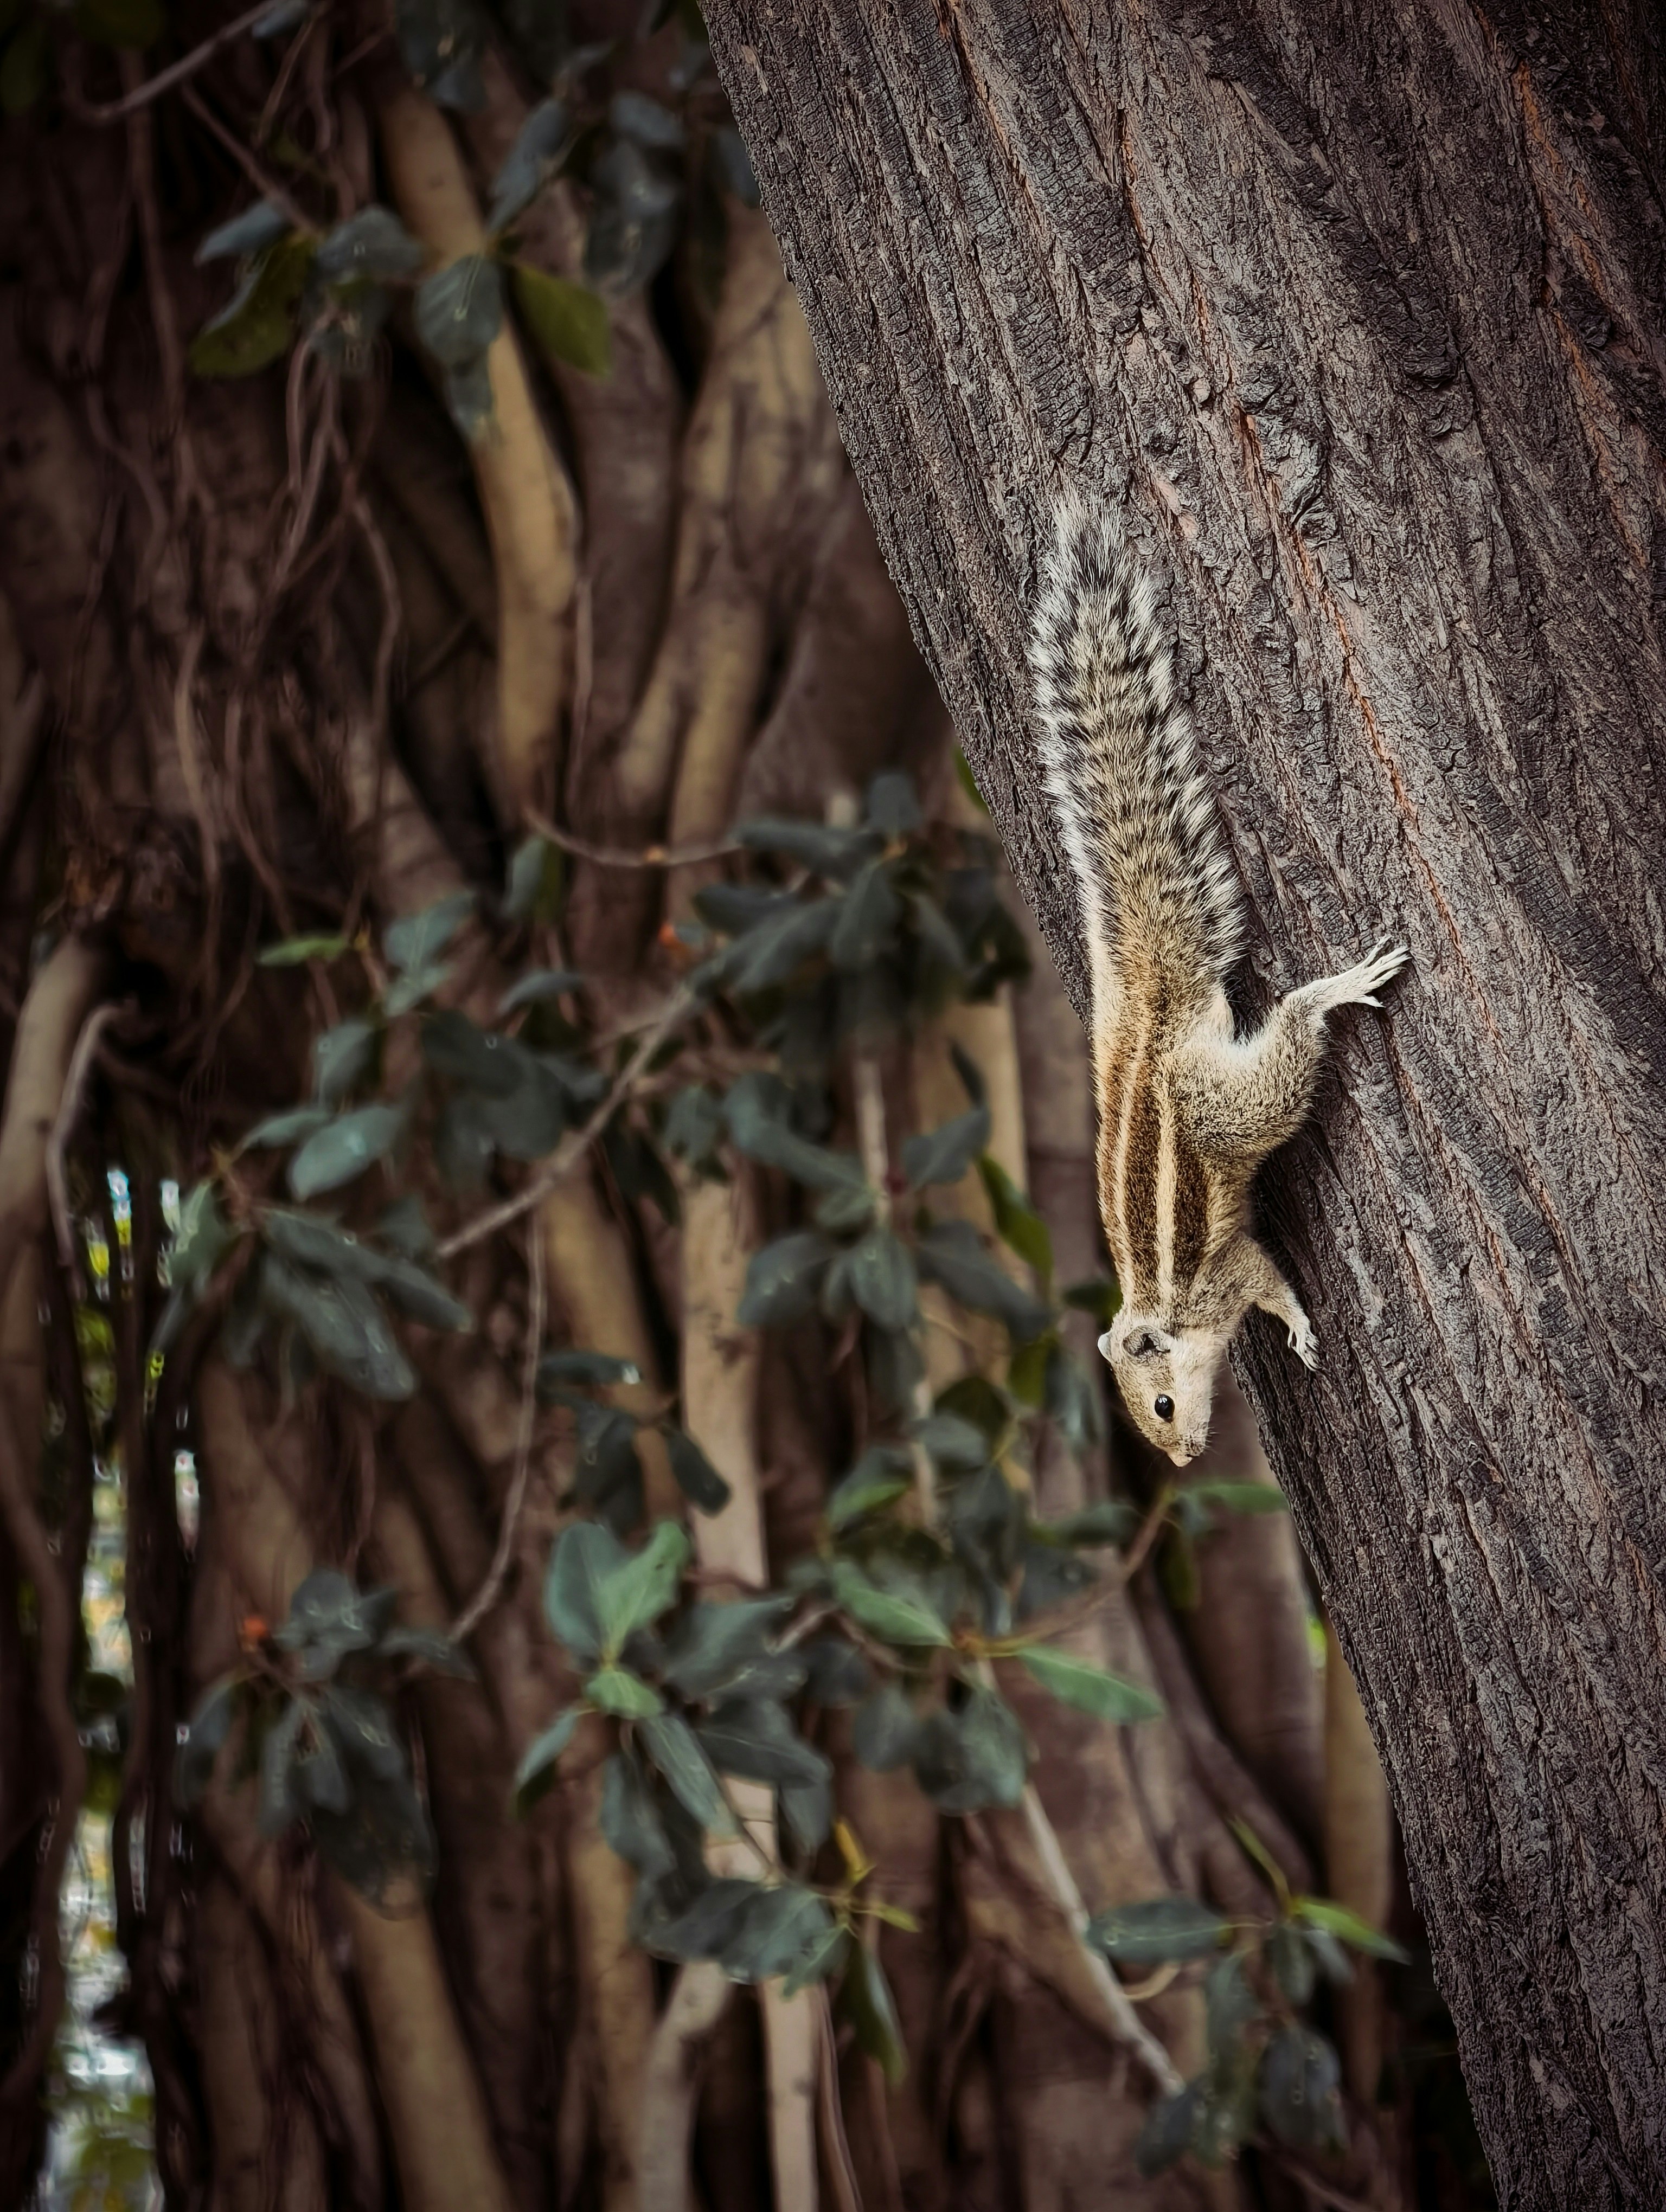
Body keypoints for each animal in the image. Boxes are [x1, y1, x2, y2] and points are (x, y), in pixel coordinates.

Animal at [1029, 497, 1408, 1466]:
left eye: (1160, 1406)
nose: (1187, 1457)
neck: (1164, 1307)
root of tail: (1155, 1026)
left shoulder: (1227, 1272)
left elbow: (1269, 1281)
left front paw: (1299, 1325)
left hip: (1220, 1104)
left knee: (1286, 1044)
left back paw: (1332, 991)